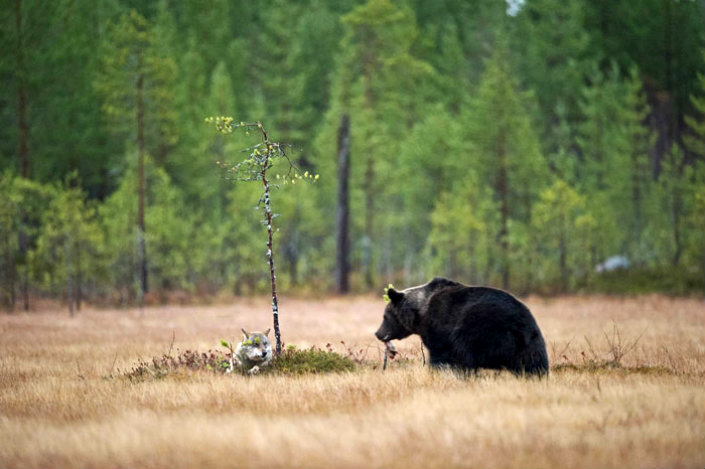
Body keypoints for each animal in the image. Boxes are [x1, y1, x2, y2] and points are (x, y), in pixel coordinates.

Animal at [375, 277, 549, 376]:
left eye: (385, 316)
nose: (378, 333)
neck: (421, 312)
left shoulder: (439, 326)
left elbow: (439, 355)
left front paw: (437, 371)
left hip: (480, 329)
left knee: (466, 353)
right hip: (531, 342)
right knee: (534, 363)